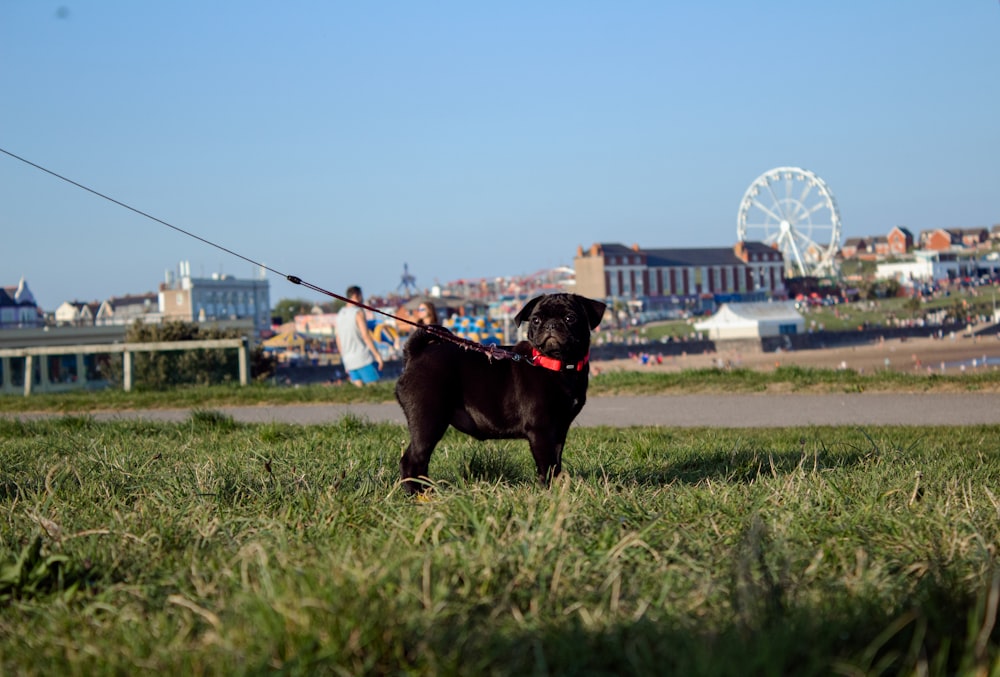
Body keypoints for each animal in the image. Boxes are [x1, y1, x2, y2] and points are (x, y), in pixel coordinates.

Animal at [394, 294, 604, 494]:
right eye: (536, 320)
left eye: (570, 318)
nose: (551, 324)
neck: (557, 364)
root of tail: (415, 354)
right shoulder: (541, 430)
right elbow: (547, 466)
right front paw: (549, 492)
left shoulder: (559, 429)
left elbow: (556, 464)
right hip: (428, 420)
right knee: (413, 460)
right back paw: (416, 494)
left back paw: (427, 492)